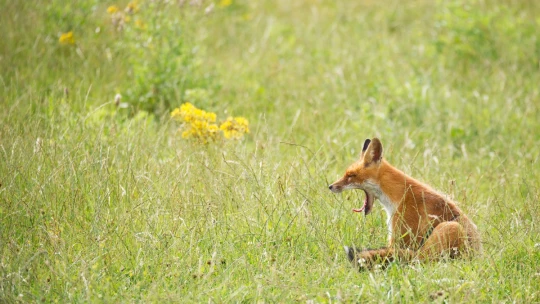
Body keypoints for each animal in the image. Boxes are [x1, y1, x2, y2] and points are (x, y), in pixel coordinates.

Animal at [330, 139, 480, 270]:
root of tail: (476, 258)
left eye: (350, 175)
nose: (330, 186)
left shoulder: (401, 234)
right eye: (346, 174)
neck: (399, 195)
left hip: (449, 229)